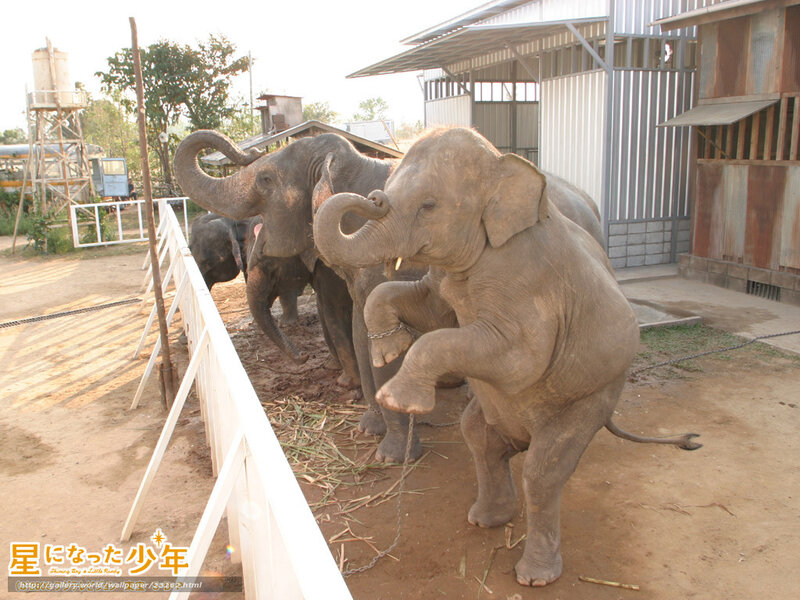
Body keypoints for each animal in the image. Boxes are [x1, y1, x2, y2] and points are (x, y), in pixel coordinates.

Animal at [312, 127, 701, 587]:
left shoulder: (528, 281)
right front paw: (389, 346)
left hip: (593, 395)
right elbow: (427, 308)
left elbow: (515, 359)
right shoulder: (448, 278)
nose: (374, 197)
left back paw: (534, 576)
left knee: (542, 472)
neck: (502, 166)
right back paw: (485, 519)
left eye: (429, 205)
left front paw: (400, 396)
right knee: (480, 438)